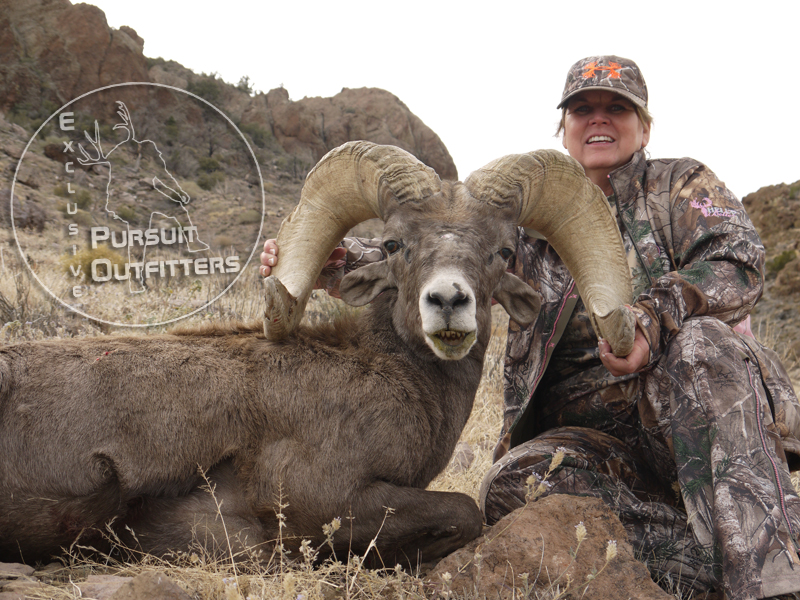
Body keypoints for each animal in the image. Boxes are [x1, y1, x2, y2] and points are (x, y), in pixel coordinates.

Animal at [1, 141, 636, 568]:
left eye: (504, 252)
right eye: (394, 244)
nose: (448, 302)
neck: (391, 377)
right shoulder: (328, 500)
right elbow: (464, 510)